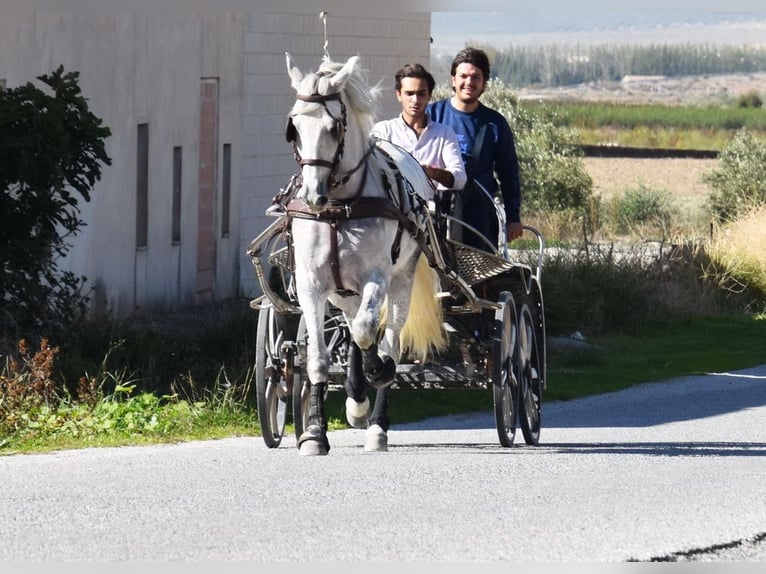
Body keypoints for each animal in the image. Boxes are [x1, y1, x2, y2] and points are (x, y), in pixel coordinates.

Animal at [284, 52, 446, 456]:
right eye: (294, 126)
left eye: (333, 127)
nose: (312, 195)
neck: (338, 208)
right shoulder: (311, 285)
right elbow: (319, 358)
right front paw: (314, 432)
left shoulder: (377, 277)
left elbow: (367, 332)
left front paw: (378, 372)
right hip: (343, 292)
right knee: (354, 324)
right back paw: (357, 399)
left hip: (401, 281)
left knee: (387, 337)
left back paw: (376, 423)